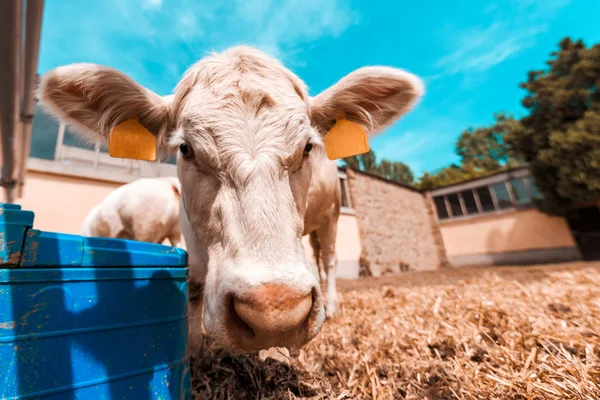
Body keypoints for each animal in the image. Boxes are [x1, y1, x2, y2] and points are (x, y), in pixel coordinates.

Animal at [37, 45, 424, 354]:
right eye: (186, 149)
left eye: (307, 147)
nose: (275, 313)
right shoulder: (188, 236)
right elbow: (194, 287)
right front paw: (195, 348)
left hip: (330, 217)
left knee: (328, 261)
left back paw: (332, 304)